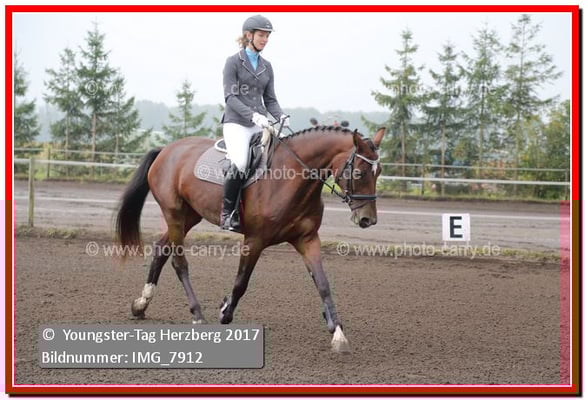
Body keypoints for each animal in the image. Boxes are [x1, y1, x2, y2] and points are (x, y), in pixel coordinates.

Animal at [115, 125, 386, 353]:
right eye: (359, 172)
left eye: (379, 172)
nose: (368, 220)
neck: (292, 179)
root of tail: (167, 149)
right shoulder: (255, 239)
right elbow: (241, 282)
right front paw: (224, 312)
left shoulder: (307, 240)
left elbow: (323, 284)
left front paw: (338, 334)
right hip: (174, 213)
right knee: (179, 262)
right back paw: (197, 314)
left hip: (190, 215)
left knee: (161, 250)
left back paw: (141, 304)